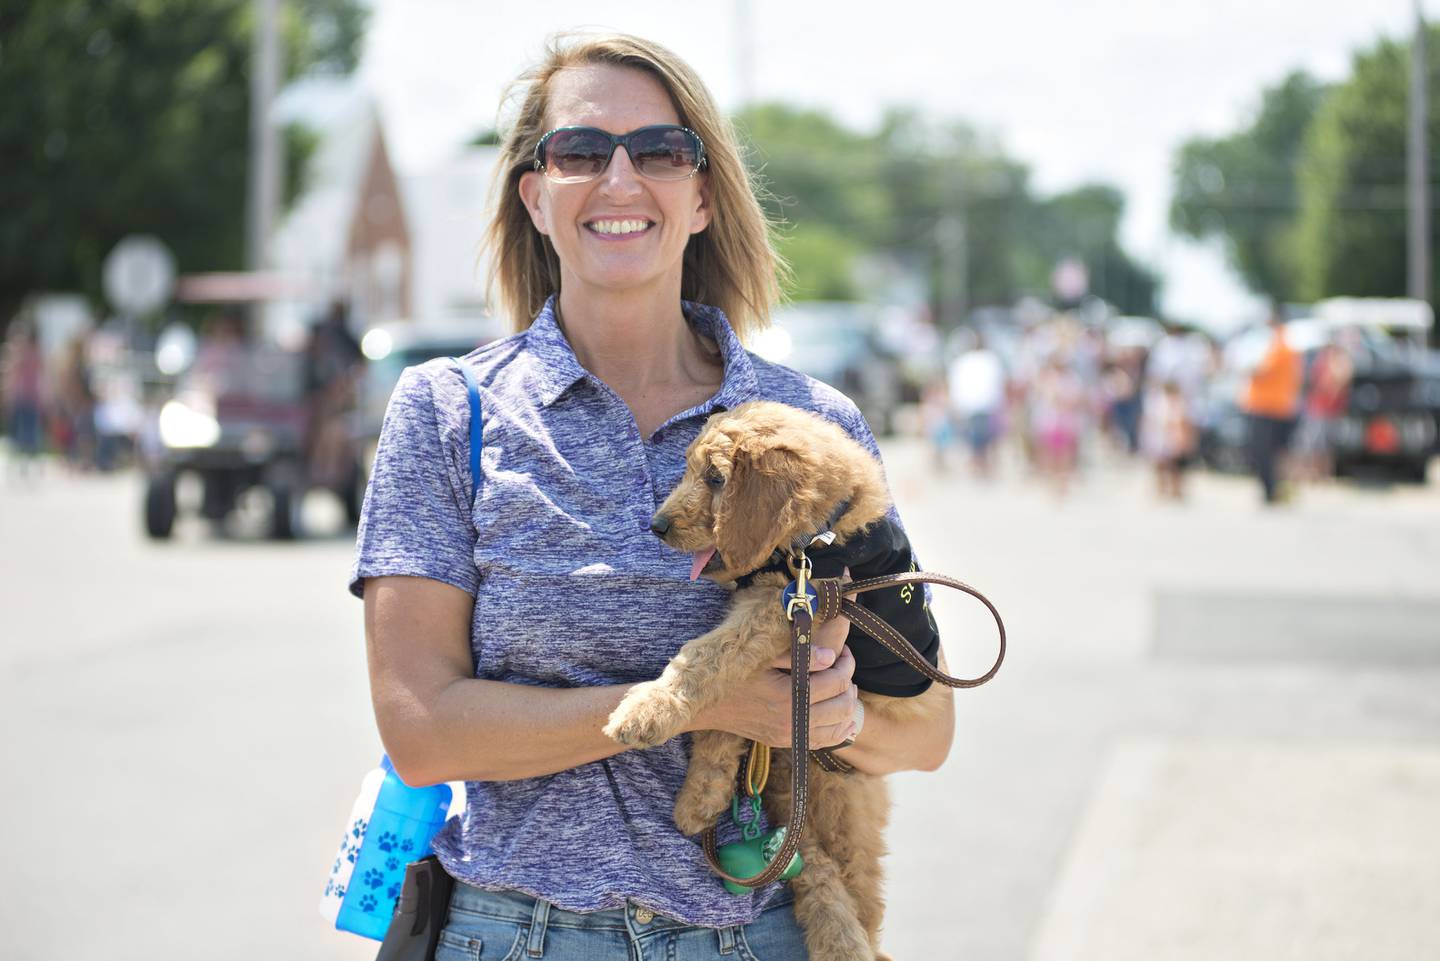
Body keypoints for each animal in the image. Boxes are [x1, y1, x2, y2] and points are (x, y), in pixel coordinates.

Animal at [601, 400, 950, 961]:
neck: (814, 541)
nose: (656, 525)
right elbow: (723, 720)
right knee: (811, 870)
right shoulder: (776, 609)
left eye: (715, 478)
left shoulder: (791, 608)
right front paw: (699, 799)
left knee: (849, 894)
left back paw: (847, 942)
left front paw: (646, 710)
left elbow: (705, 656)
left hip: (841, 816)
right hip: (797, 793)